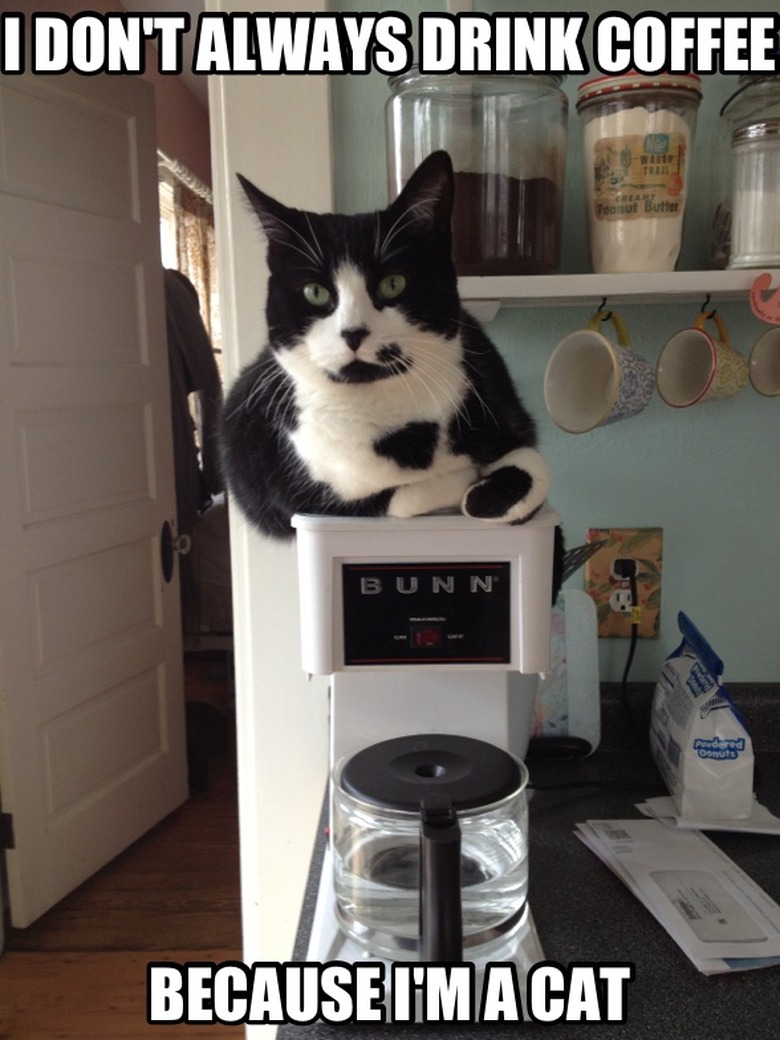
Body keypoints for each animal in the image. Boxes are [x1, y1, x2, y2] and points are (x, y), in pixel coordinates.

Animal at [221, 151, 557, 549]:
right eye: (315, 292)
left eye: (393, 284)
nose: (353, 332)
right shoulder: (292, 490)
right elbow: (396, 496)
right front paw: (460, 484)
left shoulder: (501, 406)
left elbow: (532, 463)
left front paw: (483, 494)